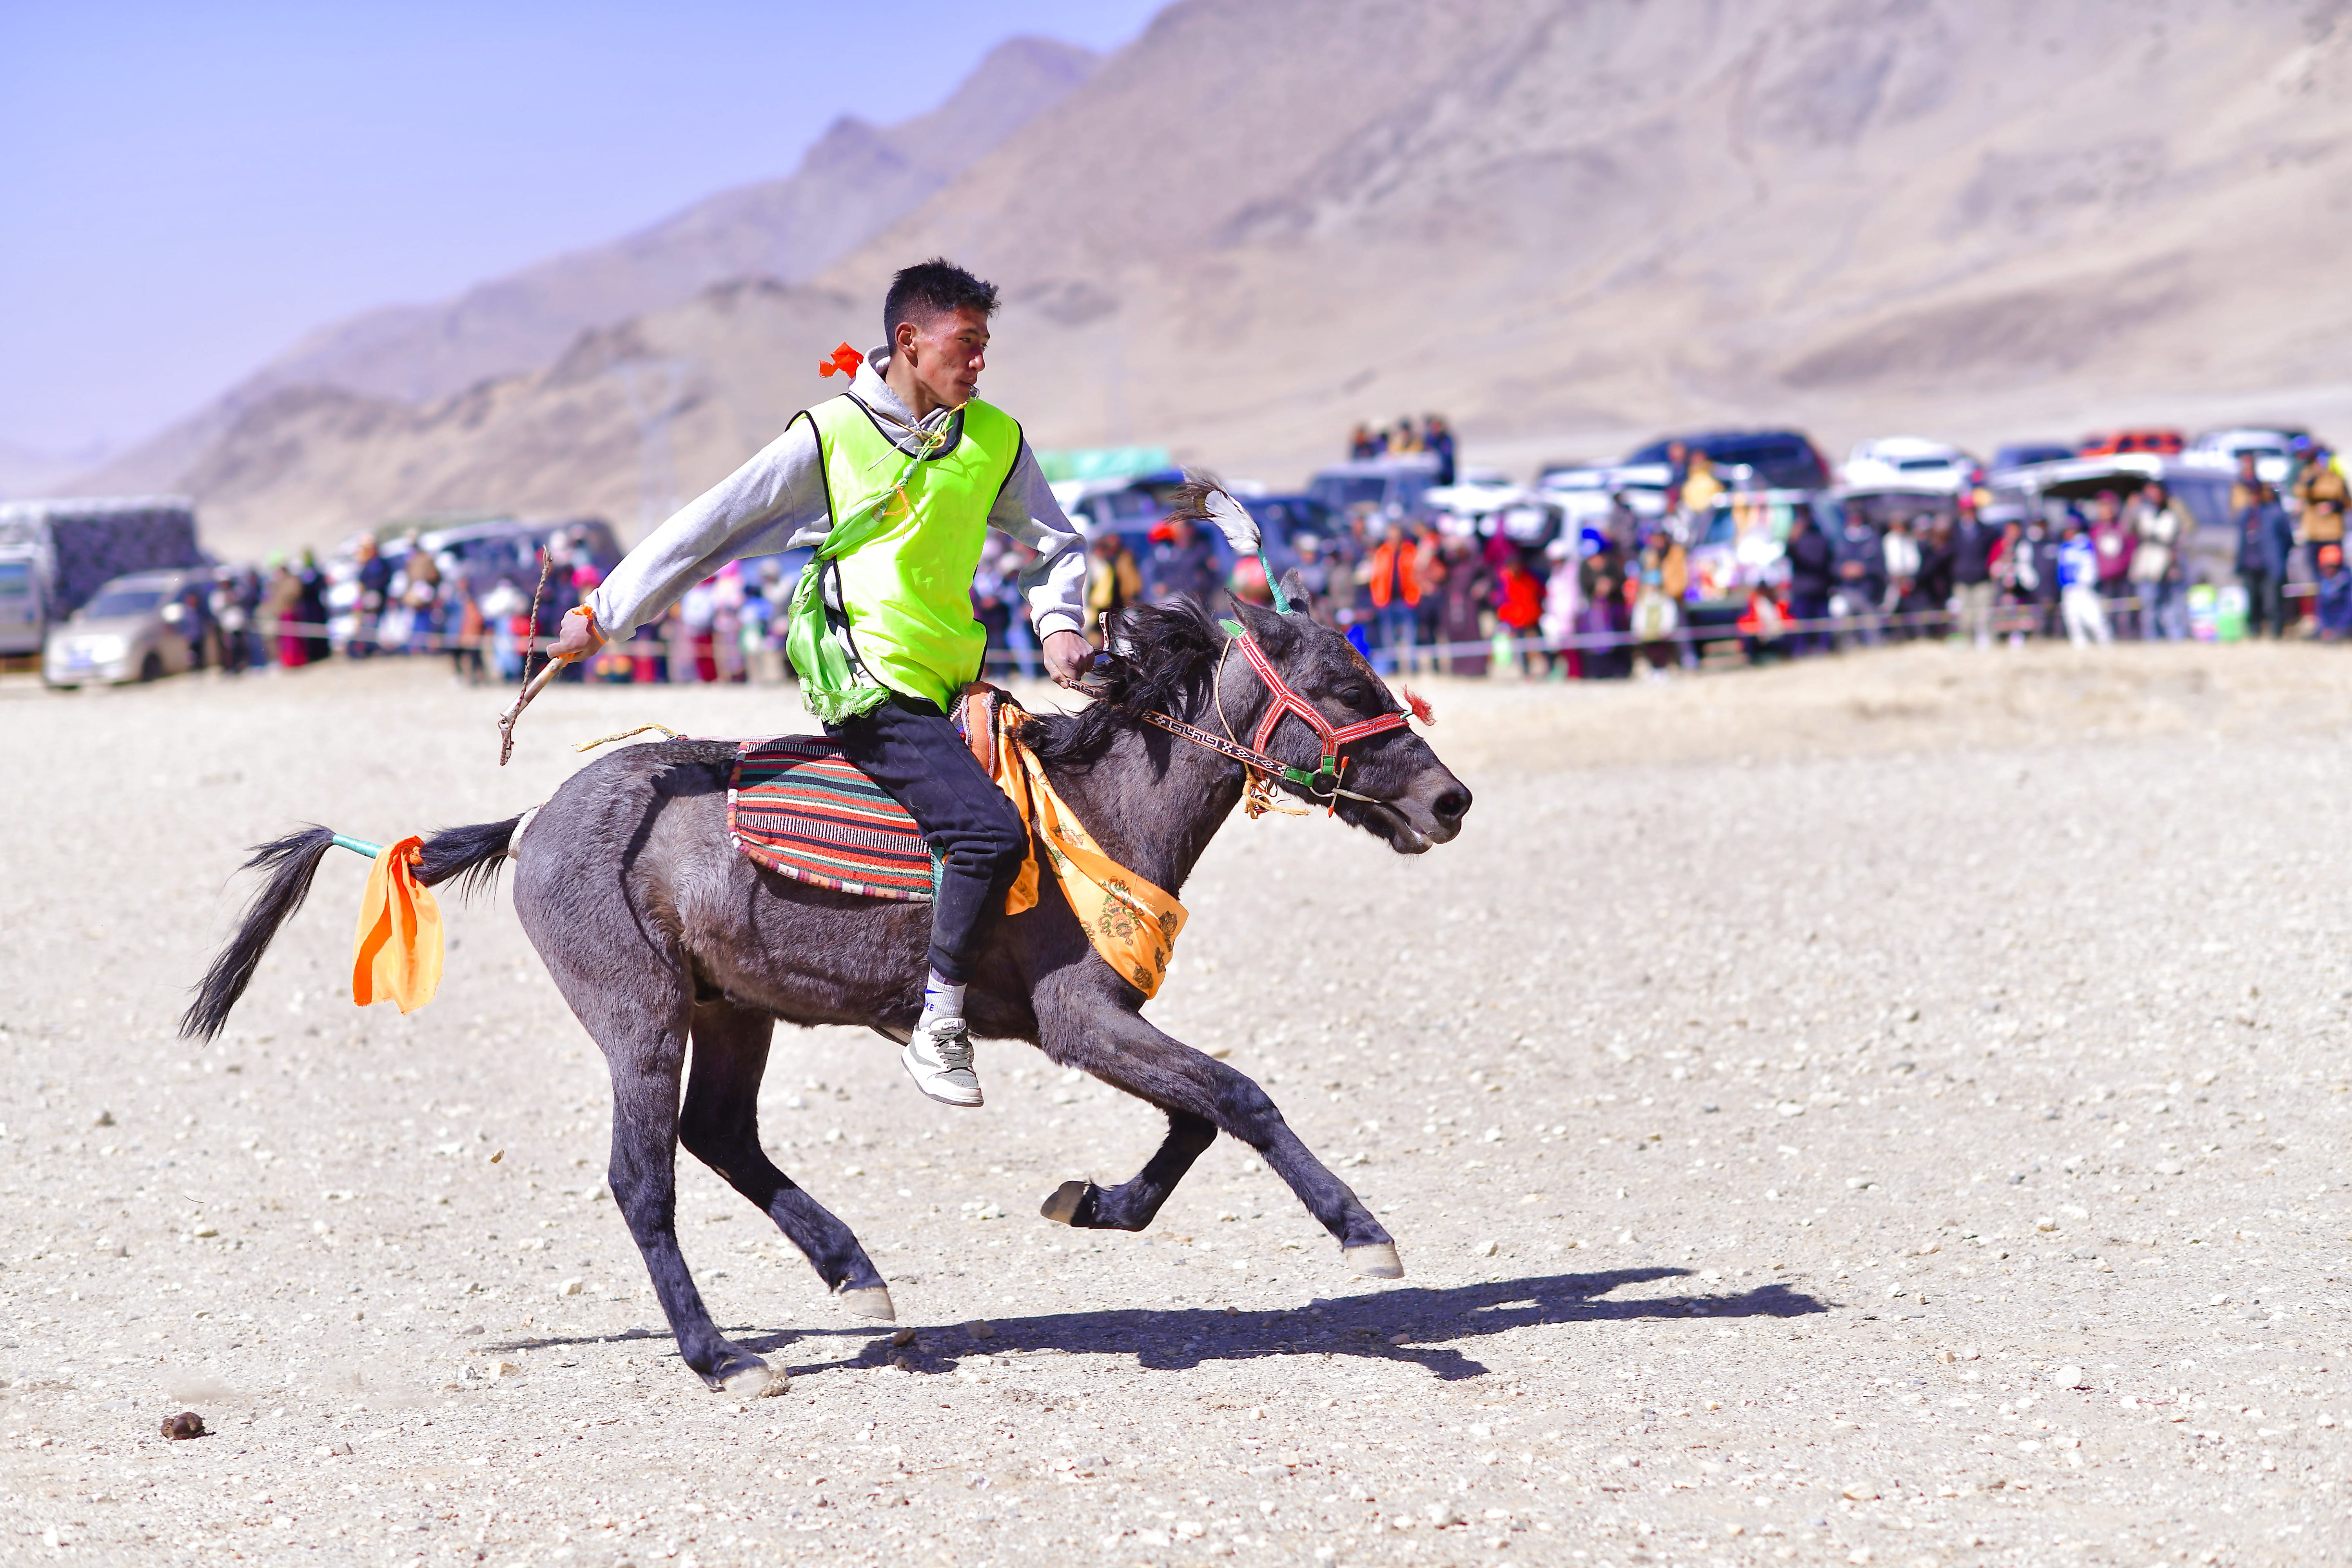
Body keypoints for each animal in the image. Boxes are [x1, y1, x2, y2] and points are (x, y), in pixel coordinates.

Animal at [179, 586, 1472, 1397]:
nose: (1450, 799)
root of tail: (537, 817)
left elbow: (1195, 1120)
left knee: (720, 1138)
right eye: (1345, 679)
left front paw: (1094, 1203)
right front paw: (1364, 1234)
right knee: (645, 1177)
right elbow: (1239, 1099)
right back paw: (721, 1357)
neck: (1098, 812)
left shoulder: (1106, 1024)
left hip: (731, 1010)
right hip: (640, 1019)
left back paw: (856, 1275)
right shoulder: (1079, 1021)